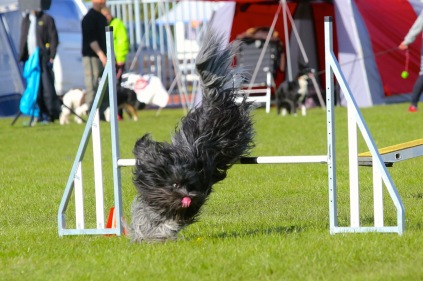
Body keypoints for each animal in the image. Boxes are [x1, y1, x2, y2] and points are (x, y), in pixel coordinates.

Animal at [129, 29, 255, 242]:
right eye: (174, 184)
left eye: (190, 184)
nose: (187, 198)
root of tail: (211, 100)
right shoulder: (153, 195)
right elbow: (147, 214)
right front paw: (144, 233)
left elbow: (171, 221)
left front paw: (159, 234)